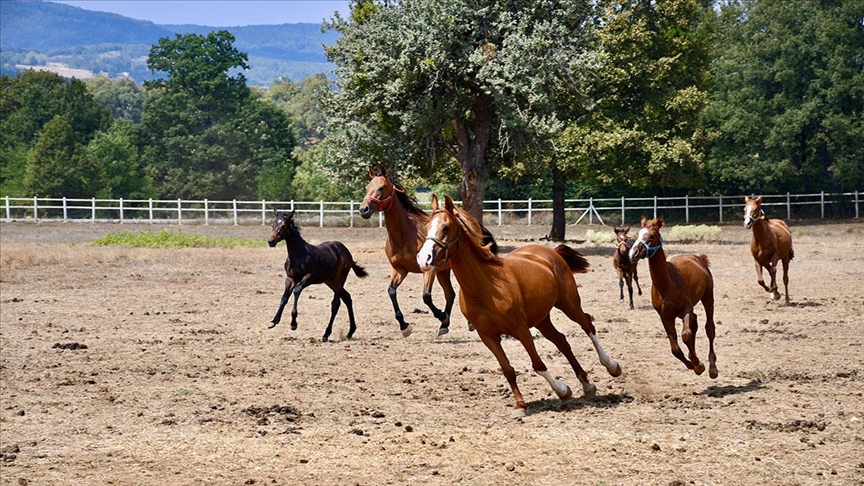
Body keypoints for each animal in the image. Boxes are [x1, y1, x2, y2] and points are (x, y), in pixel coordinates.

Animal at [266, 209, 368, 342]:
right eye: (272, 224)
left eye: (283, 225)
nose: (271, 241)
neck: (299, 255)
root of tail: (345, 251)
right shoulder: (290, 278)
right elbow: (284, 297)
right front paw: (274, 321)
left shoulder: (309, 277)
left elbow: (296, 291)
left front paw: (293, 324)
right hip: (330, 281)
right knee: (347, 297)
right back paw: (350, 332)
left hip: (340, 279)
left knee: (336, 303)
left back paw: (326, 334)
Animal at [416, 194, 620, 418]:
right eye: (426, 227)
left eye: (445, 228)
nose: (423, 259)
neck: (485, 287)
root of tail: (551, 252)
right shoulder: (488, 336)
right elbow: (508, 370)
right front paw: (521, 405)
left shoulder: (521, 329)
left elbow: (538, 364)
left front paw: (561, 390)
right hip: (542, 318)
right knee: (562, 341)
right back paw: (587, 385)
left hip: (569, 304)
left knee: (587, 325)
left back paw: (612, 366)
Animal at [624, 216, 720, 380]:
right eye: (637, 234)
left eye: (651, 236)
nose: (634, 253)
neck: (667, 285)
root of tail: (699, 258)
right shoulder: (665, 317)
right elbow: (675, 349)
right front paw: (693, 365)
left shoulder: (686, 309)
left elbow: (686, 335)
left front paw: (699, 365)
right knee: (695, 323)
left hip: (708, 297)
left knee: (709, 328)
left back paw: (712, 368)